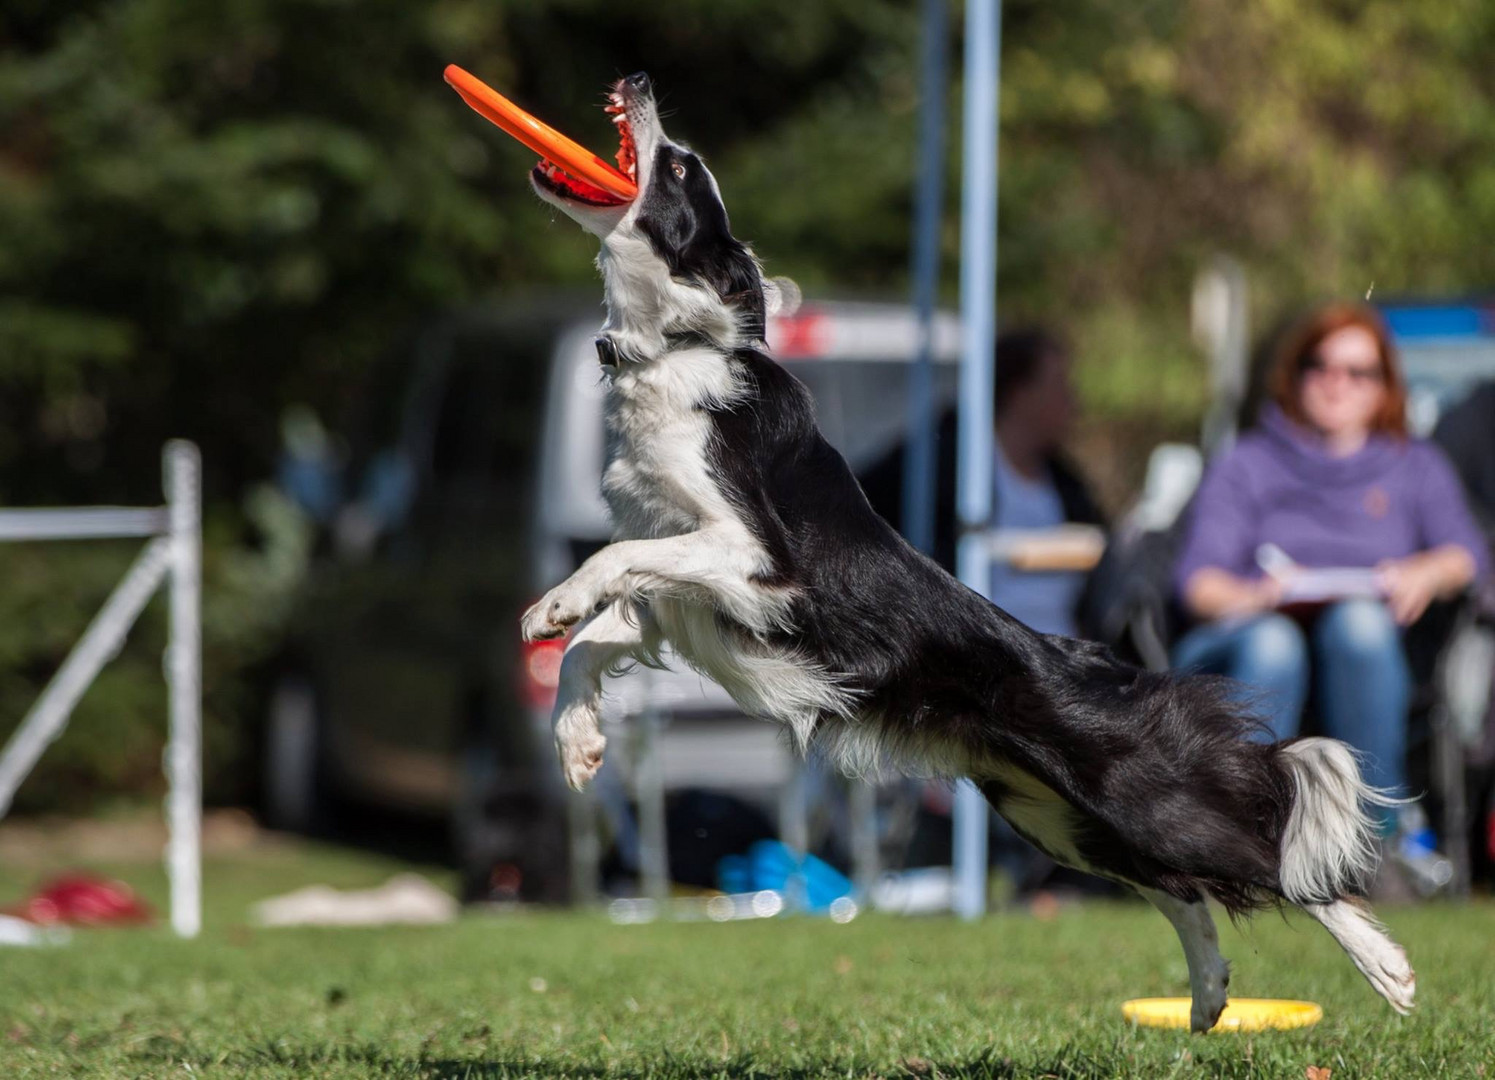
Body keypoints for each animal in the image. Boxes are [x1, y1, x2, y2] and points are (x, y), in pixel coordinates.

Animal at [523, 69, 1411, 1029]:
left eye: (681, 168)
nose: (638, 80)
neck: (673, 348)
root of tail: (1095, 662)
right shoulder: (679, 590)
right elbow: (590, 645)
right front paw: (576, 742)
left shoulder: (757, 559)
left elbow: (606, 570)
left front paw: (551, 604)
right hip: (1052, 814)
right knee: (1180, 892)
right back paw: (1208, 996)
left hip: (1136, 798)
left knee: (1270, 862)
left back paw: (1387, 971)